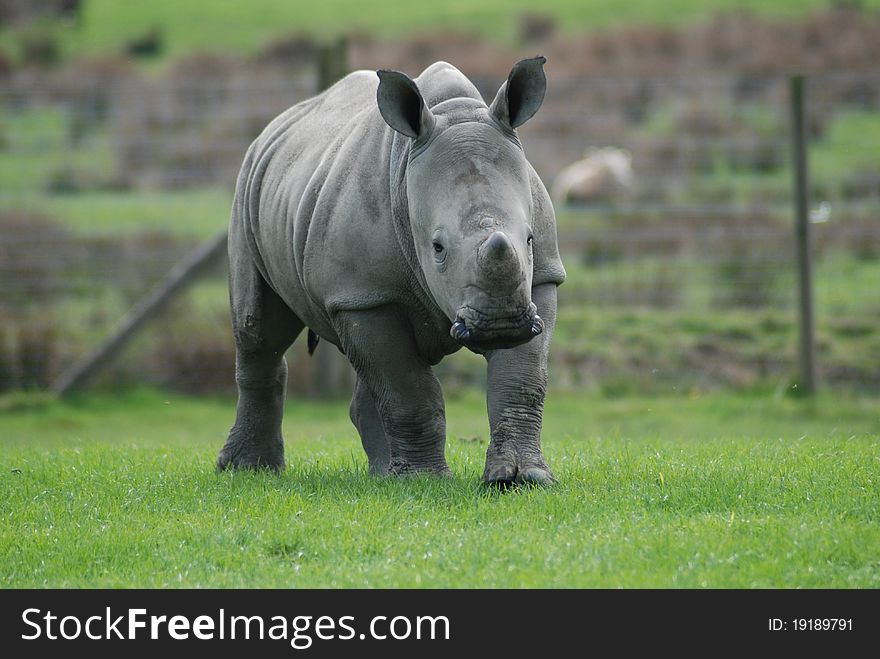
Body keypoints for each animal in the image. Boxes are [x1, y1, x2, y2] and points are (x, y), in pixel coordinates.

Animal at [217, 56, 568, 484]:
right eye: (437, 247)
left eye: (530, 239)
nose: (502, 325)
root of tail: (270, 130)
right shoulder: (364, 295)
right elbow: (407, 390)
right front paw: (425, 481)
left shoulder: (540, 279)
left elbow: (522, 381)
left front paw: (521, 478)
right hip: (248, 193)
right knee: (260, 332)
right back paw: (248, 471)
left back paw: (383, 475)